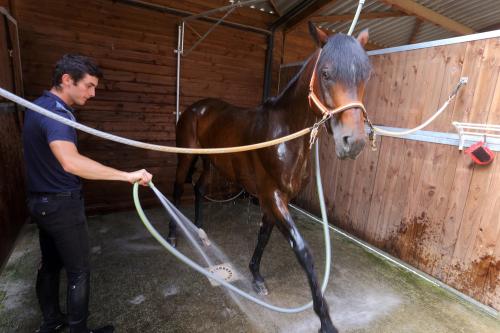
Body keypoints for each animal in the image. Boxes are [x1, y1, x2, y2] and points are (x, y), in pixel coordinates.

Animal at [168, 23, 372, 332]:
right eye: (326, 73)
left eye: (365, 75)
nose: (354, 141)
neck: (283, 134)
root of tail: (196, 108)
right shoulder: (272, 195)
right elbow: (302, 251)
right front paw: (325, 320)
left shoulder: (278, 197)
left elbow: (264, 235)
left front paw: (256, 276)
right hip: (186, 157)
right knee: (179, 187)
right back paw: (174, 236)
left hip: (212, 162)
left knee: (200, 187)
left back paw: (200, 232)